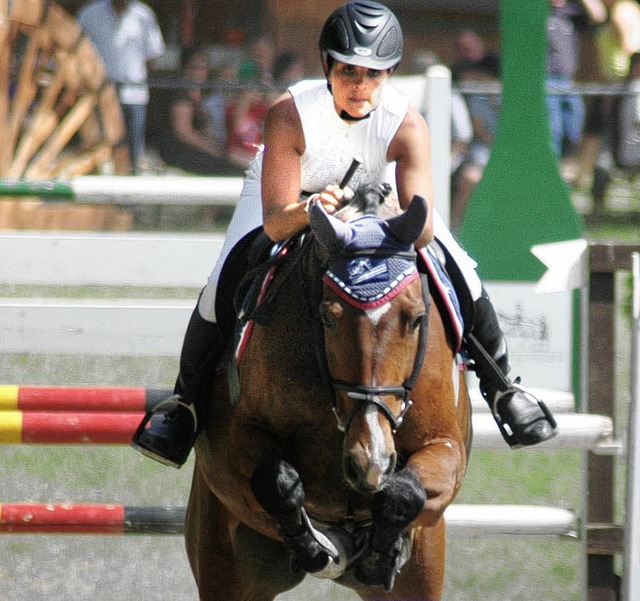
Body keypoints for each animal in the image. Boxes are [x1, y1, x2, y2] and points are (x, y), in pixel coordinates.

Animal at [182, 184, 472, 600]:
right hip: (225, 566)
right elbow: (277, 481)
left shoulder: (446, 447)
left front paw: (380, 554)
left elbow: (404, 492)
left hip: (423, 569)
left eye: (417, 318)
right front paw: (313, 547)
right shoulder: (232, 437)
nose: (371, 460)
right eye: (328, 317)